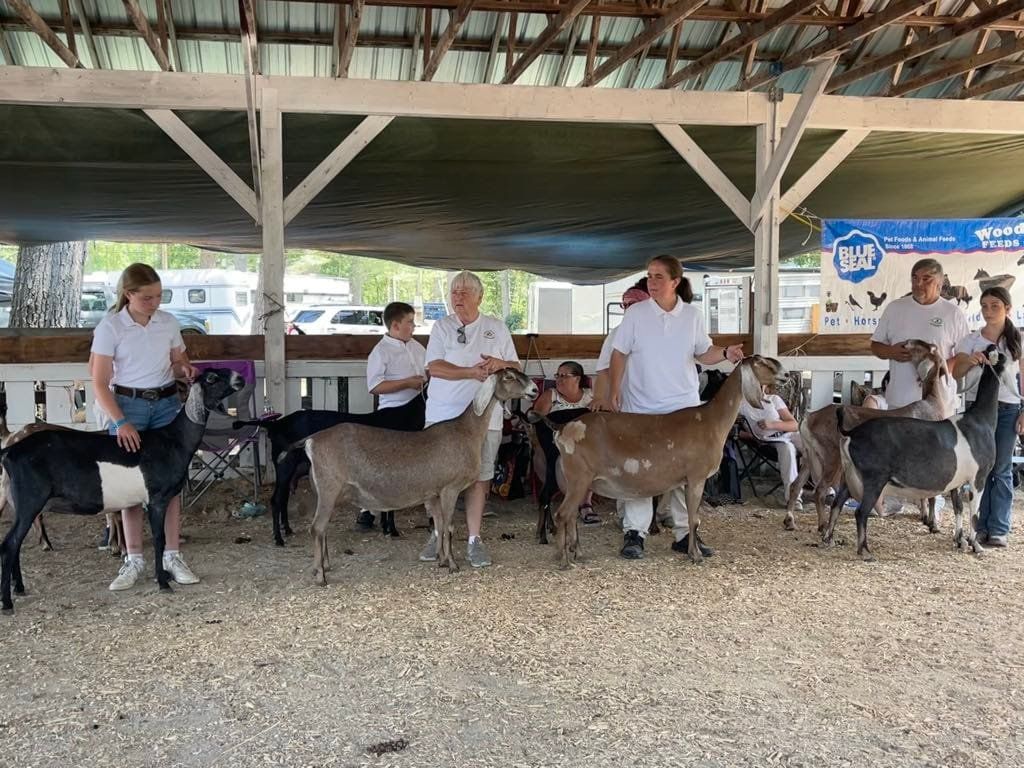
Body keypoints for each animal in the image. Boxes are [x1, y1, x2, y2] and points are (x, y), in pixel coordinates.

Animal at [0, 368, 243, 614]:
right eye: (212, 378)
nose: (240, 379)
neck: (174, 440)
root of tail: (10, 450)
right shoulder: (156, 499)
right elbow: (159, 538)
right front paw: (163, 582)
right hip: (30, 501)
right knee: (9, 544)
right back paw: (7, 602)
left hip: (20, 504)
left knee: (15, 543)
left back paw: (19, 588)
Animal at [303, 368, 540, 581]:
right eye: (509, 376)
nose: (535, 389)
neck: (466, 432)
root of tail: (311, 441)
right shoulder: (450, 488)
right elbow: (449, 526)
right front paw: (452, 565)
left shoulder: (434, 493)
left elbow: (440, 525)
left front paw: (442, 560)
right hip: (329, 488)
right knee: (316, 528)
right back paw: (320, 576)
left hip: (326, 493)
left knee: (322, 529)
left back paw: (322, 567)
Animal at [544, 358, 782, 569]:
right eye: (762, 362)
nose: (784, 374)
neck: (712, 421)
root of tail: (562, 429)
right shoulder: (697, 476)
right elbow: (694, 520)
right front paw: (696, 556)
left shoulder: (685, 481)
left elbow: (688, 518)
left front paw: (692, 550)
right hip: (578, 478)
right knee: (562, 514)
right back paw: (565, 561)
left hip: (574, 482)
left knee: (570, 515)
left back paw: (578, 554)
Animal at [782, 342, 958, 536]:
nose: (905, 344)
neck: (933, 403)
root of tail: (809, 418)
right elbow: (932, 494)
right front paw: (933, 525)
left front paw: (926, 518)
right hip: (831, 455)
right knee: (819, 490)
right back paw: (822, 526)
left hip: (809, 455)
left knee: (795, 485)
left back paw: (790, 521)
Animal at [823, 348, 1007, 561]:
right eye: (1005, 354)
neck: (980, 419)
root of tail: (851, 433)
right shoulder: (979, 476)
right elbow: (974, 513)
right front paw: (976, 546)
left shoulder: (957, 481)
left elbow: (958, 508)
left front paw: (959, 541)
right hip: (873, 478)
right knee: (861, 513)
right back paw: (866, 551)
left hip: (849, 475)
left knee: (837, 503)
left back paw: (829, 539)